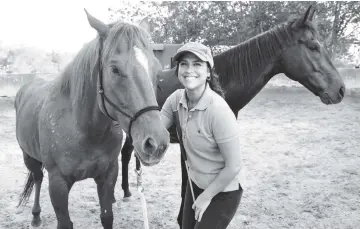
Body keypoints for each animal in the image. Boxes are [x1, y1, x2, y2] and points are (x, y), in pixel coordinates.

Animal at [14, 9, 169, 229]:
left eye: (156, 69)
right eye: (114, 69)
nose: (156, 143)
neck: (83, 129)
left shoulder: (107, 175)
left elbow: (107, 217)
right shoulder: (58, 184)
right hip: (29, 157)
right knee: (37, 178)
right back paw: (35, 215)